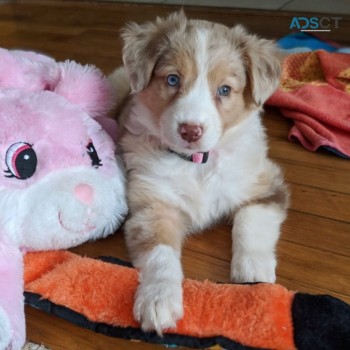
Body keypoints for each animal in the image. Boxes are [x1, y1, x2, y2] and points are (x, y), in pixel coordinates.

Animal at [108, 10, 288, 334]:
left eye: (225, 90)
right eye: (172, 79)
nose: (190, 130)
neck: (197, 164)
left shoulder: (265, 183)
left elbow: (250, 222)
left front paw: (253, 271)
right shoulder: (153, 204)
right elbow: (160, 254)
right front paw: (158, 299)